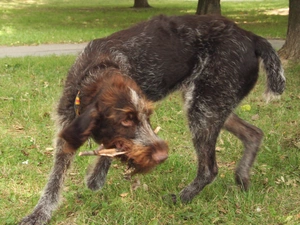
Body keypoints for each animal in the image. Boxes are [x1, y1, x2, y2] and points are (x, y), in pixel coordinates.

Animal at [20, 14, 284, 224]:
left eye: (148, 117)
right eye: (126, 121)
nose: (162, 155)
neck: (95, 70)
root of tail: (251, 36)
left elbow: (108, 152)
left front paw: (96, 178)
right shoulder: (67, 128)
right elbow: (55, 181)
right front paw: (40, 213)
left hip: (204, 108)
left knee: (210, 169)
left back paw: (183, 198)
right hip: (212, 104)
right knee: (254, 133)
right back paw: (242, 179)